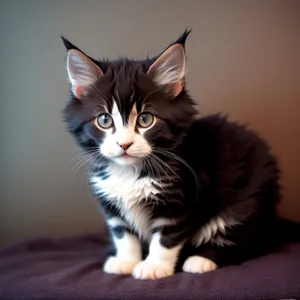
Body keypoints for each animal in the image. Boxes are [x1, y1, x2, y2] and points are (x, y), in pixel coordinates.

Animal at [61, 29, 298, 278]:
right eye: (104, 120)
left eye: (145, 119)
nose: (124, 144)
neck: (130, 172)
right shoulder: (110, 202)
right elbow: (124, 234)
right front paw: (126, 261)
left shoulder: (181, 200)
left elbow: (166, 238)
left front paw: (154, 266)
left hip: (247, 202)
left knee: (249, 242)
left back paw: (202, 259)